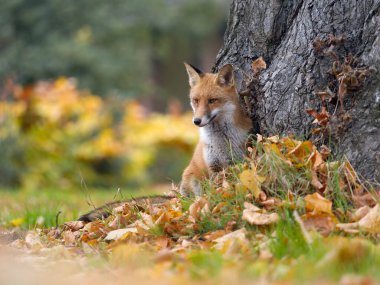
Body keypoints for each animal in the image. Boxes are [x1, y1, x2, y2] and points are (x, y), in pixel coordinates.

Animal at [180, 62, 252, 195]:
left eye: (212, 100)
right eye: (196, 100)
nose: (196, 121)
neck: (221, 141)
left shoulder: (237, 160)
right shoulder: (213, 165)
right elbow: (214, 188)